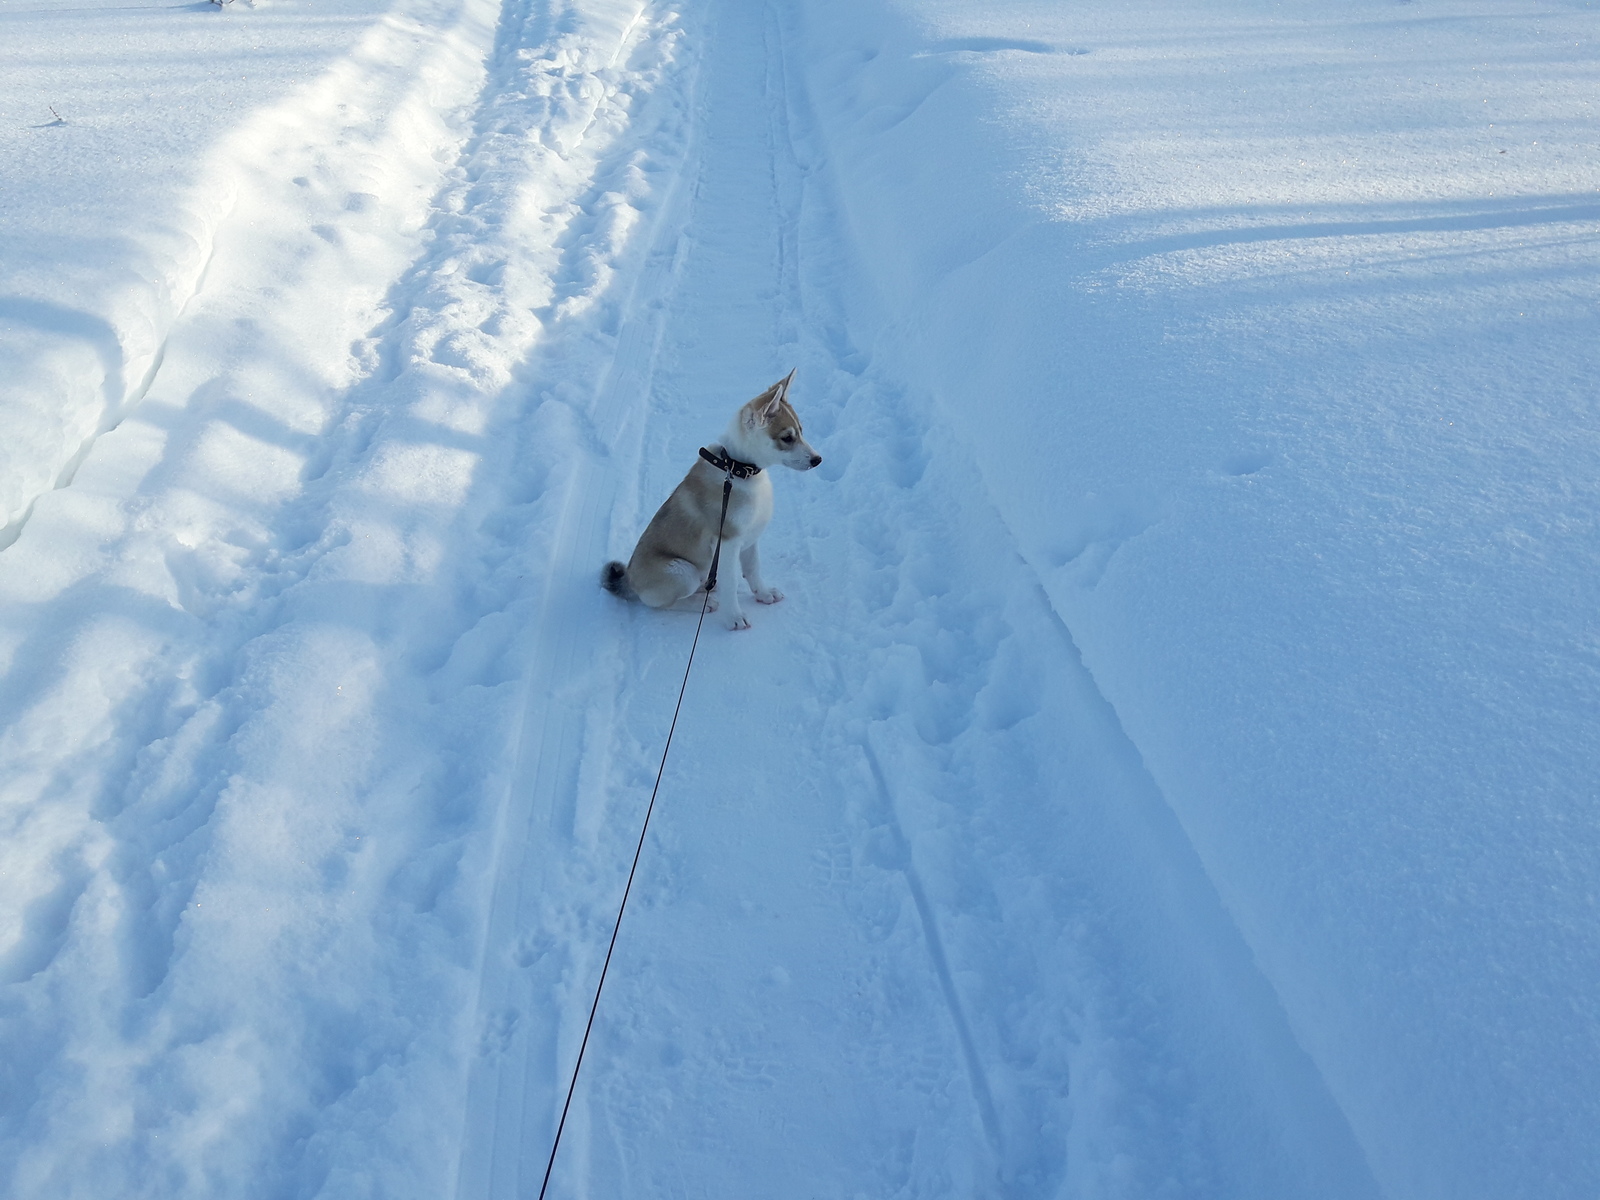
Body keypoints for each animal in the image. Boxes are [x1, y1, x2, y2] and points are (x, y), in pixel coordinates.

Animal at [601, 371, 825, 633]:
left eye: (801, 431)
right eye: (787, 438)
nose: (818, 460)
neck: (737, 469)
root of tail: (630, 579)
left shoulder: (749, 539)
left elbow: (753, 569)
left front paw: (763, 593)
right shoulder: (727, 542)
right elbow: (732, 584)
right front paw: (735, 617)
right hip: (682, 571)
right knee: (662, 604)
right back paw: (702, 603)